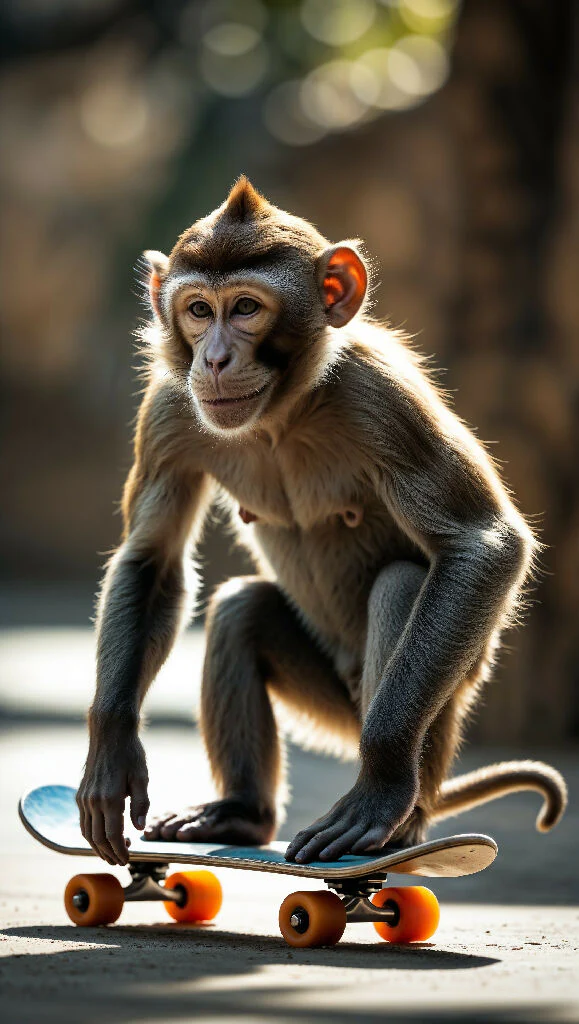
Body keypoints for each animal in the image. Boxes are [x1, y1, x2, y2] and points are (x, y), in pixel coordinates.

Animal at [77, 177, 566, 868]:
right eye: (198, 310)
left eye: (245, 308)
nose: (215, 359)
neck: (281, 414)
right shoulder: (171, 404)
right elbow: (153, 558)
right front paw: (113, 751)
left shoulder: (381, 395)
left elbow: (483, 542)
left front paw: (381, 784)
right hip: (327, 699)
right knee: (240, 611)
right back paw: (241, 814)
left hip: (431, 705)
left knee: (403, 584)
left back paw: (398, 823)